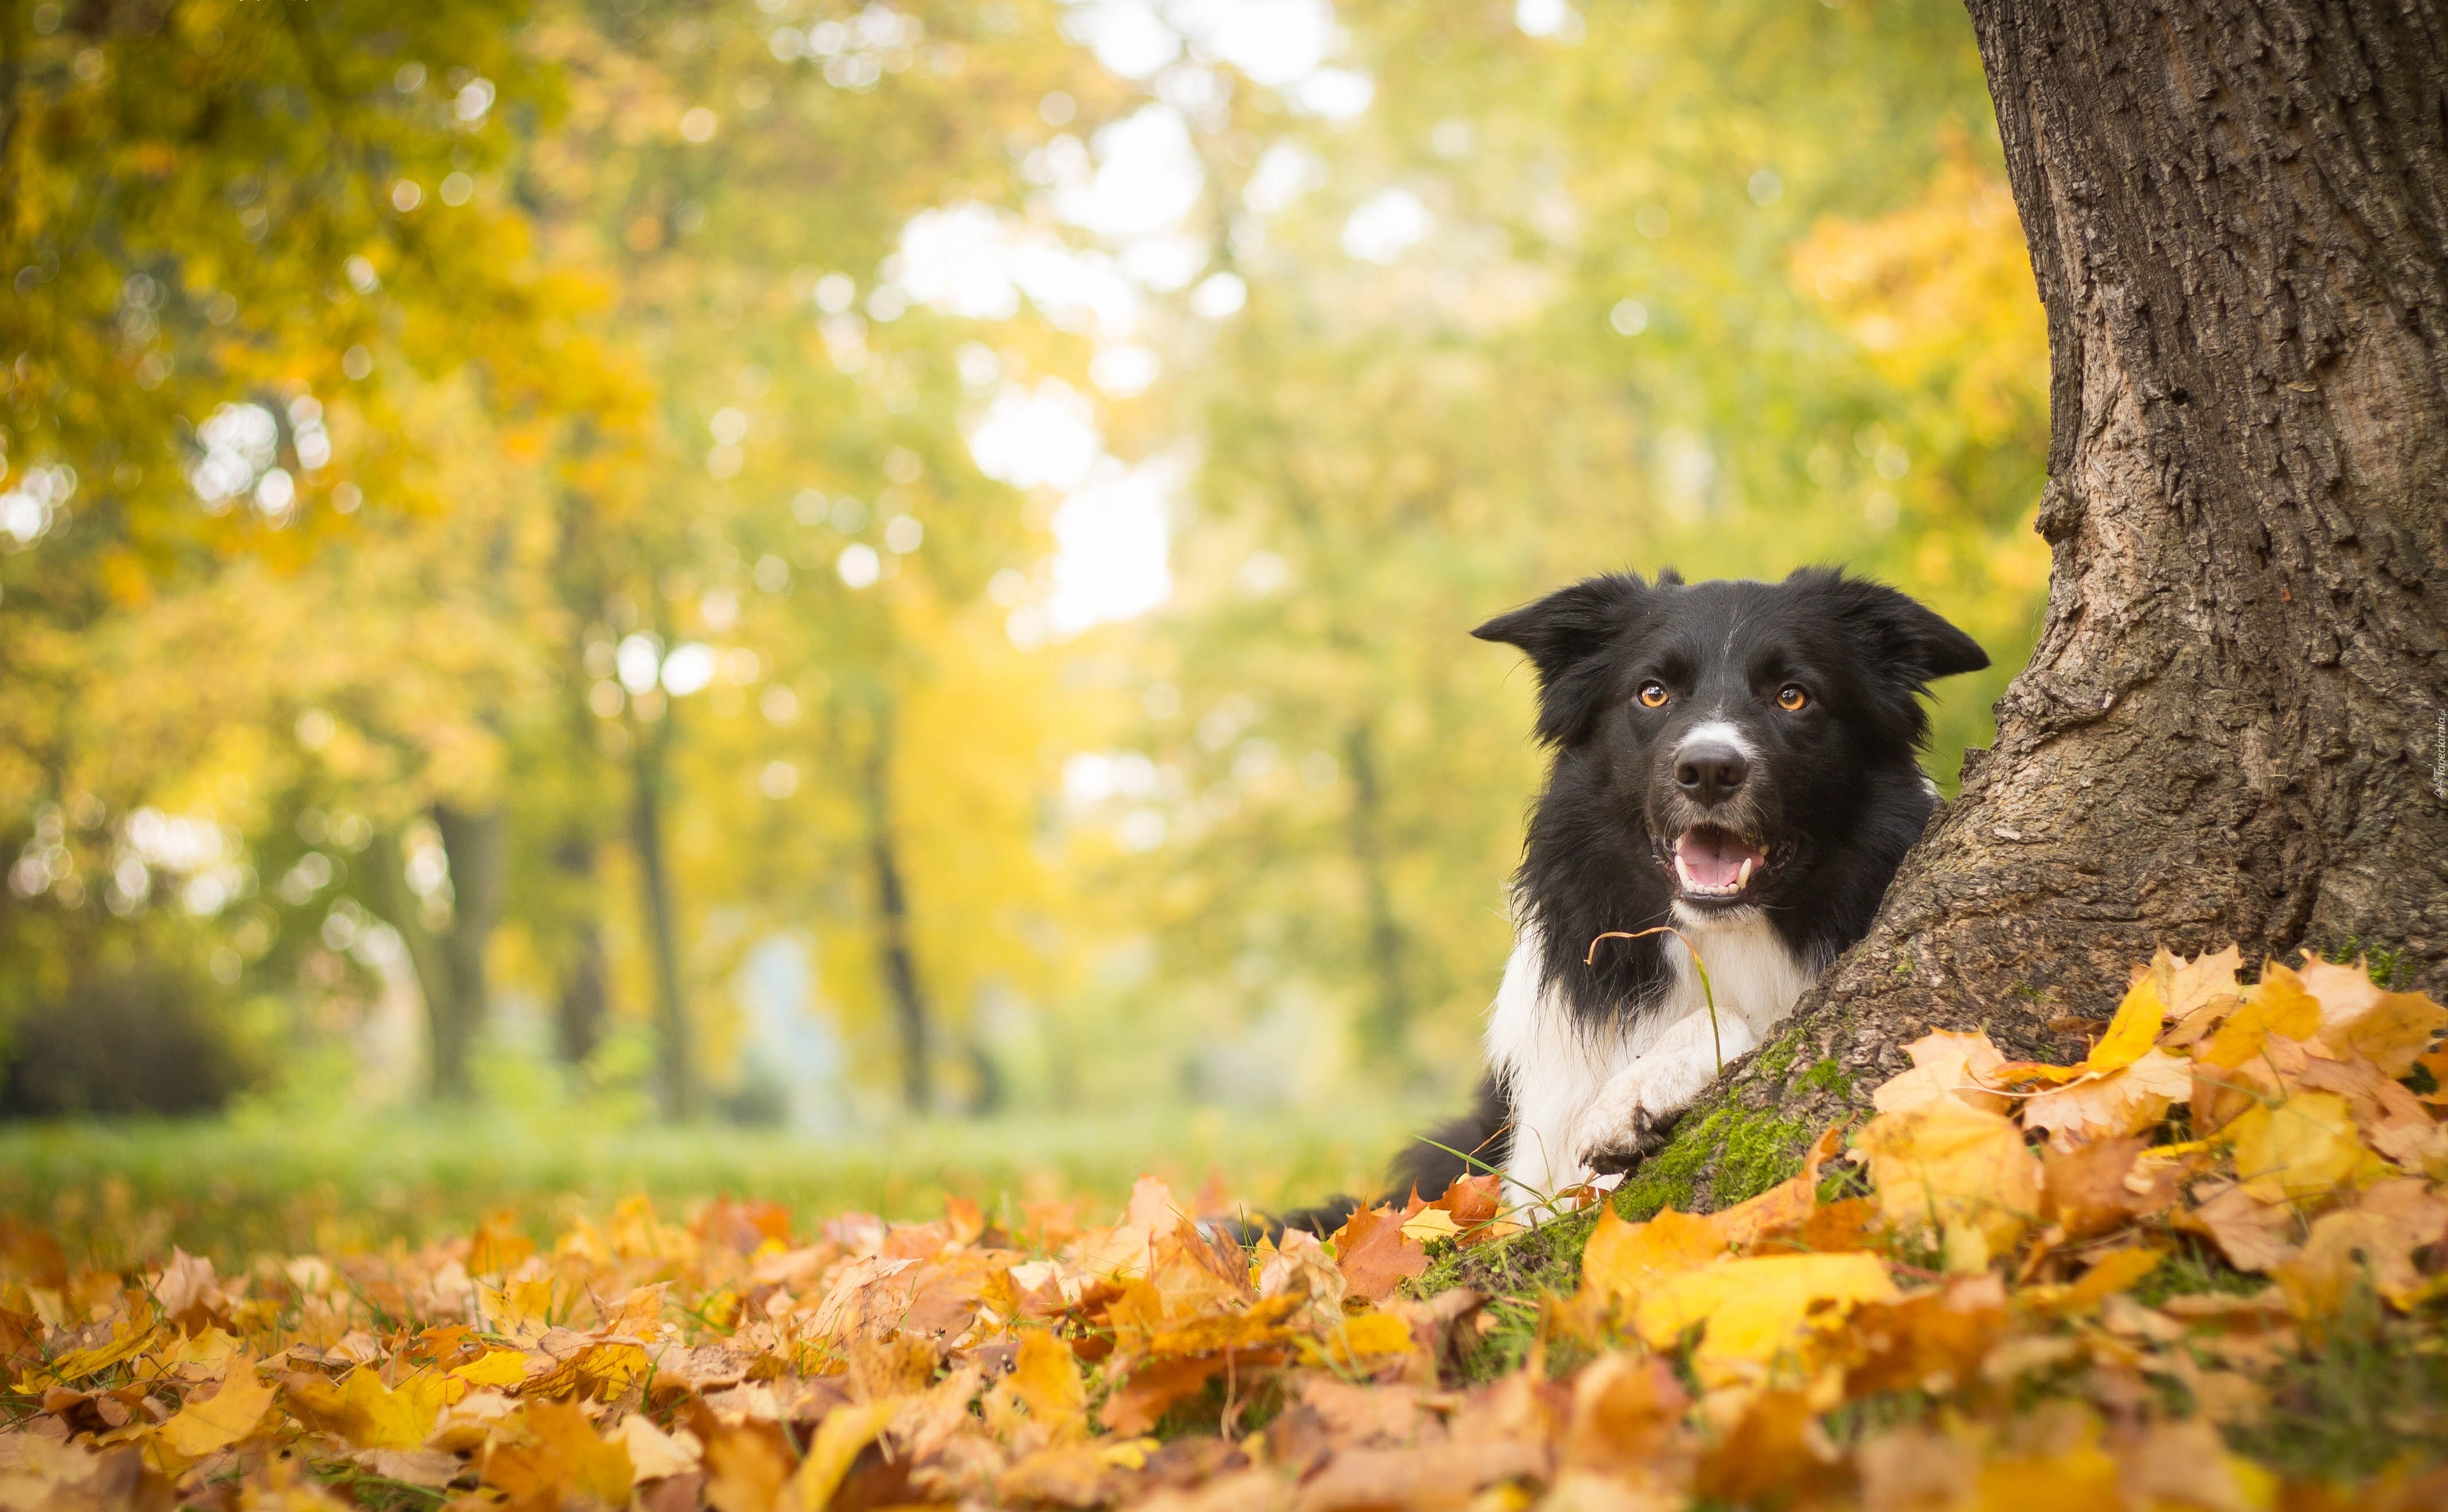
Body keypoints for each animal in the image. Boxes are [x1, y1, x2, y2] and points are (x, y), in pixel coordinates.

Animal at [1400, 565, 1987, 1213]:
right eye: (1653, 692)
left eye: (1793, 695)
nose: (1709, 770)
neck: (1725, 935)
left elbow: (1751, 1018)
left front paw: (1639, 1090)